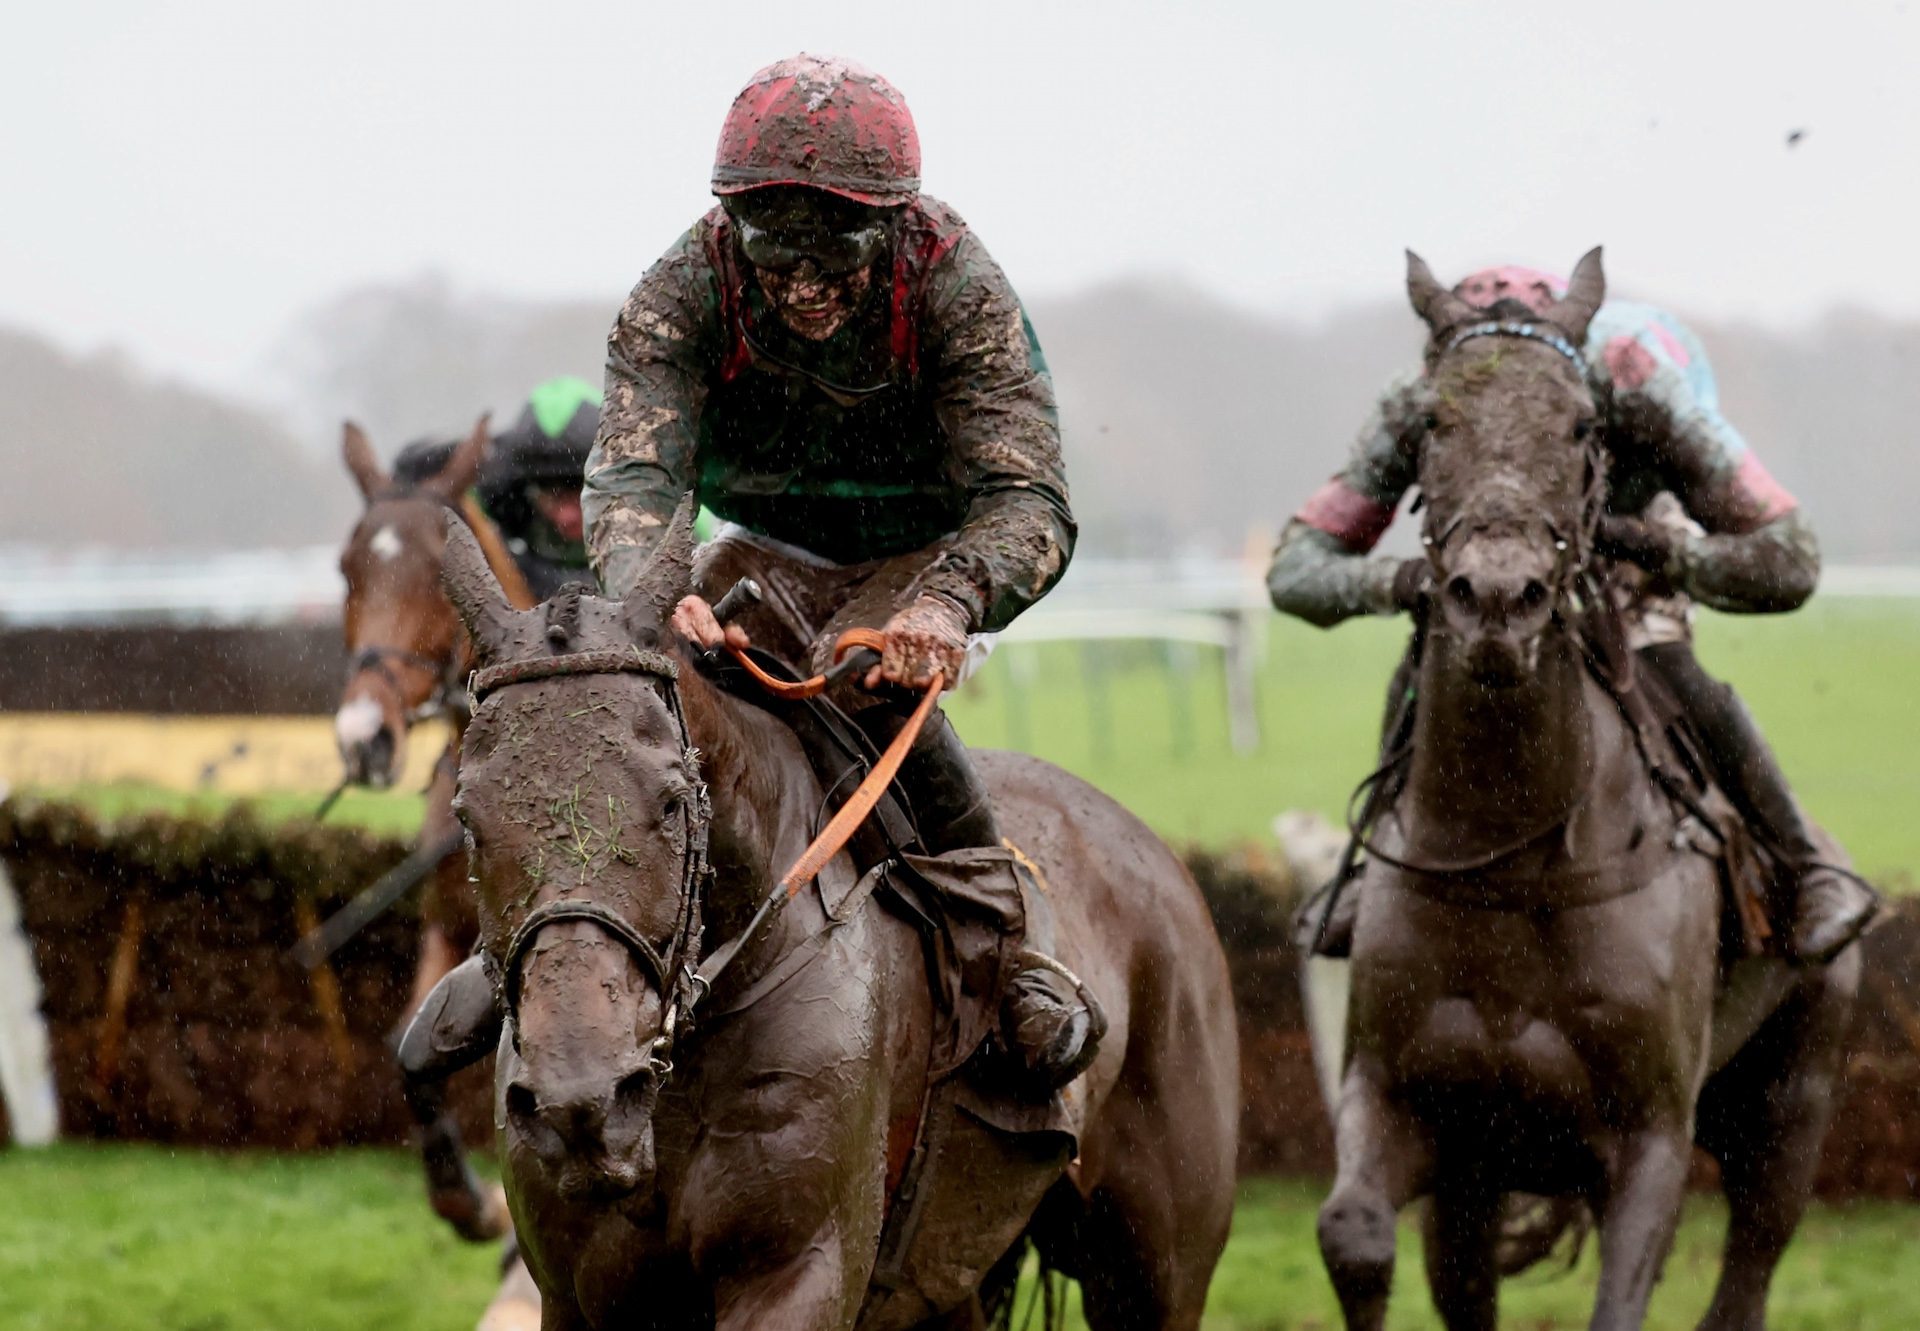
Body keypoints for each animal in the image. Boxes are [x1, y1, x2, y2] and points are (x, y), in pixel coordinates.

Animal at [439, 503, 1244, 1321]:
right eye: (470, 815)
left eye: (670, 800)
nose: (583, 1103)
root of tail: (1155, 850)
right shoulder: (577, 1292)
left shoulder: (801, 1266)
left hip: (1153, 1262)